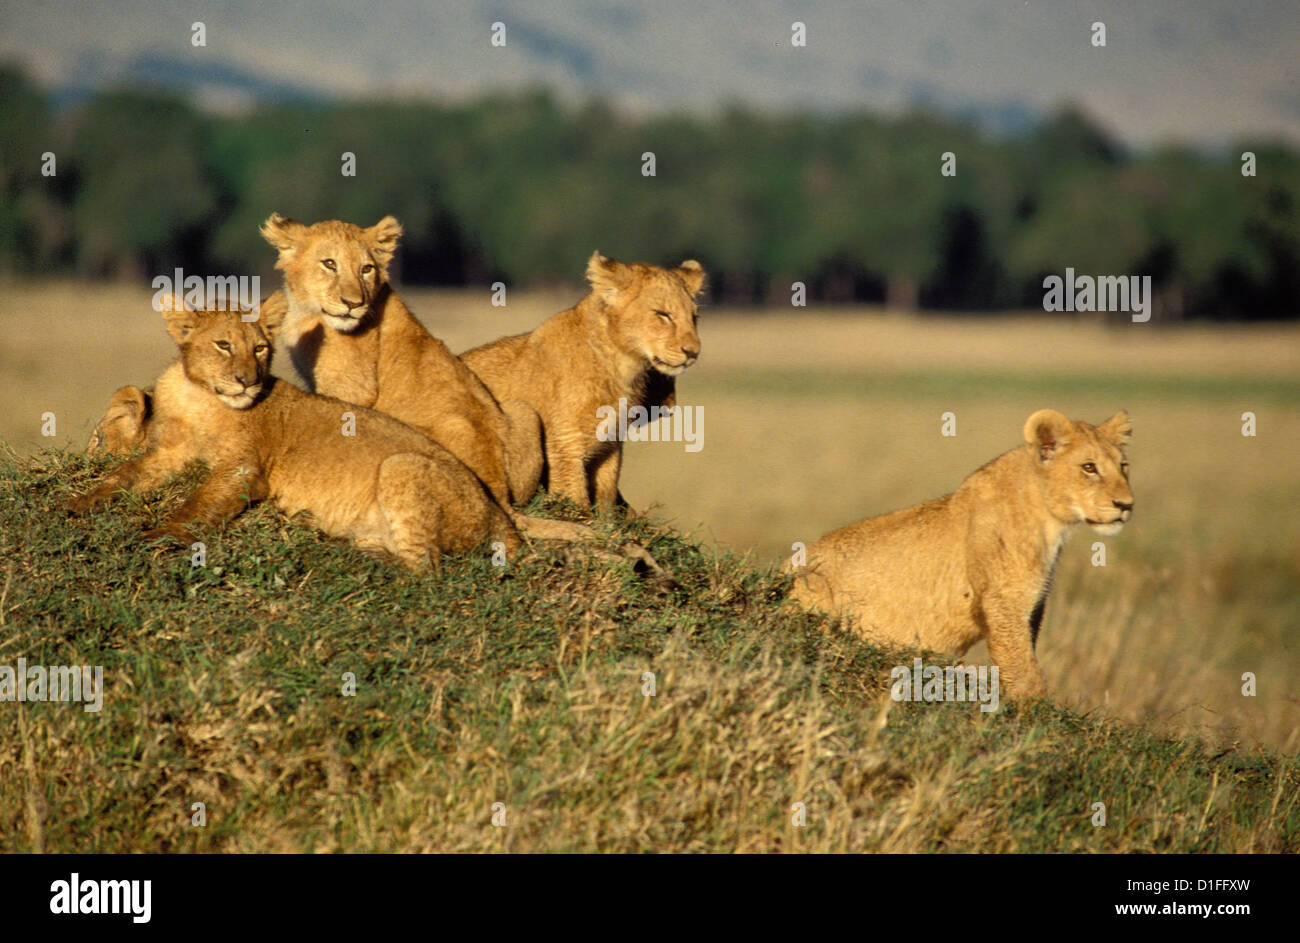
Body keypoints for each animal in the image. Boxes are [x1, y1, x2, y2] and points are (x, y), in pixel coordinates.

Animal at [69, 300, 520, 568]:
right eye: (222, 345)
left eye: (260, 348)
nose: (247, 381)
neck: (200, 396)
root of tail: (498, 512)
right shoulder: (170, 453)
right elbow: (123, 475)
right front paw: (76, 505)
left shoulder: (244, 469)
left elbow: (199, 504)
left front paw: (161, 535)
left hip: (402, 464)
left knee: (425, 569)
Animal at [257, 213, 542, 509]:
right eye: (329, 263)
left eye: (366, 269)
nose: (353, 304)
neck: (308, 311)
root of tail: (498, 492)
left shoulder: (353, 388)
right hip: (522, 412)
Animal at [460, 251, 704, 508]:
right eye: (663, 315)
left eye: (694, 317)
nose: (693, 352)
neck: (621, 367)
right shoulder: (564, 444)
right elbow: (575, 498)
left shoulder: (610, 444)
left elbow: (606, 496)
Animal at [785, 409, 1134, 699]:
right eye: (1089, 468)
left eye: (1124, 466)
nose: (1126, 505)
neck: (1048, 521)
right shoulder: (1003, 599)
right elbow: (1022, 668)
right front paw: (1034, 714)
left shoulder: (1033, 605)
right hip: (813, 584)